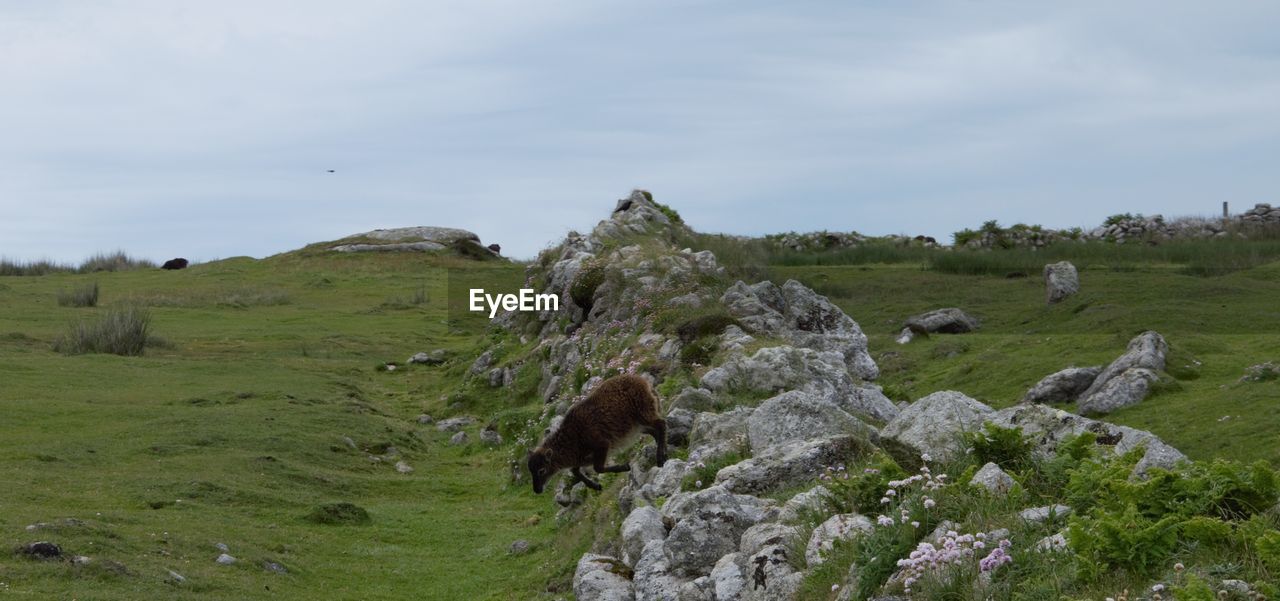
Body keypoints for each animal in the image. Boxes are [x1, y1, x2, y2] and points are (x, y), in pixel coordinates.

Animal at [529, 375, 670, 493]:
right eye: (531, 470)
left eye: (541, 470)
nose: (537, 490)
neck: (572, 439)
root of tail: (643, 381)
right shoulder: (583, 458)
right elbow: (575, 471)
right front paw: (595, 486)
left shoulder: (601, 445)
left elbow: (598, 468)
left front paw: (624, 467)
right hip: (637, 425)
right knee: (655, 431)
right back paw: (664, 452)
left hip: (644, 412)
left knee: (661, 424)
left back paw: (660, 458)